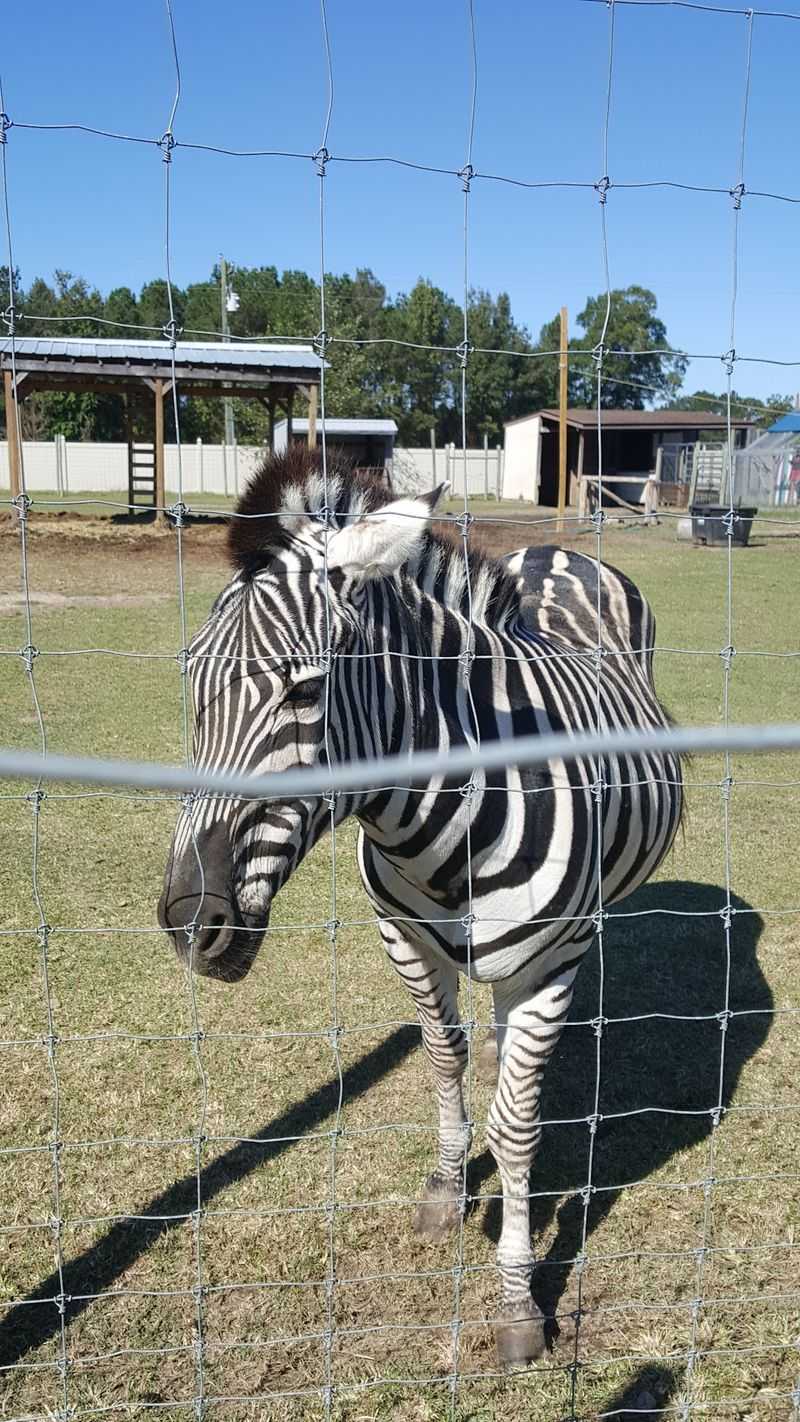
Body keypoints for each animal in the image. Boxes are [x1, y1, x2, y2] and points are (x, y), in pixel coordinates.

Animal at [158, 445, 683, 1368]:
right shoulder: (404, 940)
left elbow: (518, 1128)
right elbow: (443, 1059)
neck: (443, 823)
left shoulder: (548, 969)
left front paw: (517, 1302)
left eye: (304, 693)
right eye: (192, 680)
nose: (190, 921)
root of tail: (560, 551)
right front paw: (445, 1189)